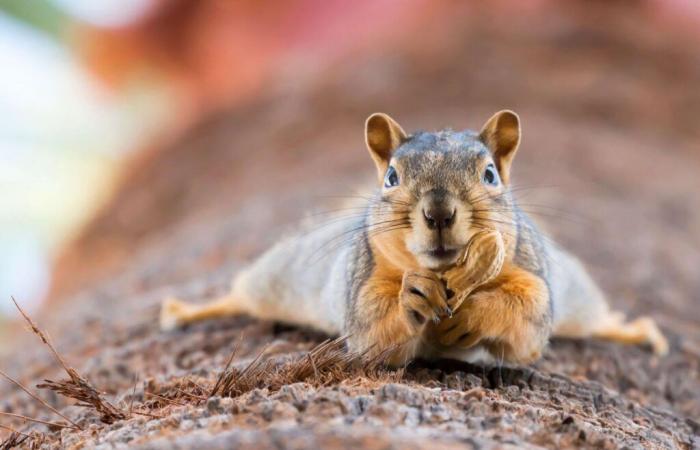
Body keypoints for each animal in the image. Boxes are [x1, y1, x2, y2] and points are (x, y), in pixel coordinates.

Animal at [159, 110, 668, 368]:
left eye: (489, 174)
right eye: (390, 176)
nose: (438, 212)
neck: (446, 275)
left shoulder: (530, 271)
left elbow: (528, 315)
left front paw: (478, 311)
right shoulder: (360, 281)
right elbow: (372, 328)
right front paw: (412, 295)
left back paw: (633, 331)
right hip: (280, 272)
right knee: (242, 293)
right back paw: (191, 309)